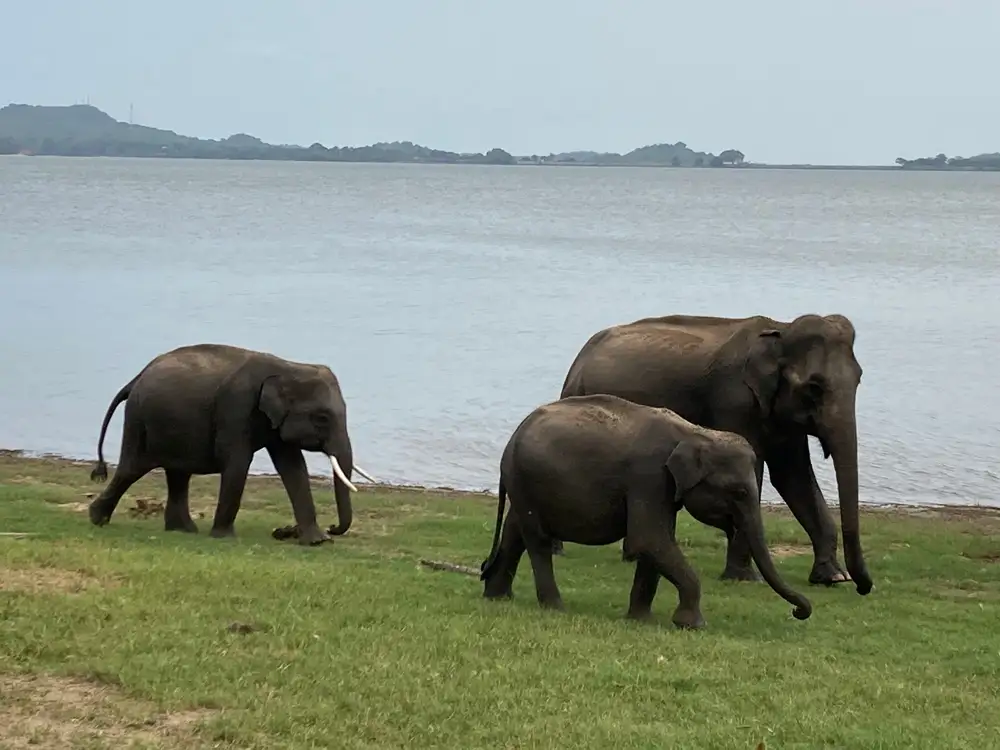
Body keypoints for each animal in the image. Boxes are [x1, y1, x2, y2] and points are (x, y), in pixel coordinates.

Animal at [86, 343, 377, 545]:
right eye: (322, 418)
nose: (332, 528)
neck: (287, 366)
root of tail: (135, 379)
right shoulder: (236, 408)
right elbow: (238, 464)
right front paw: (224, 538)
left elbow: (293, 467)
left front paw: (317, 542)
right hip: (139, 420)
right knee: (133, 468)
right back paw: (96, 519)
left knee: (178, 474)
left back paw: (184, 530)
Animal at [479, 394, 813, 629]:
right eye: (740, 493)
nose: (798, 611)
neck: (695, 432)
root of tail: (512, 439)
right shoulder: (649, 476)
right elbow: (650, 539)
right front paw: (692, 625)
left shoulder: (663, 487)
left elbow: (657, 542)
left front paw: (641, 620)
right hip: (526, 479)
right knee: (537, 539)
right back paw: (555, 607)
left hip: (525, 483)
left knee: (515, 530)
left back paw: (497, 597)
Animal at [557, 313, 871, 596]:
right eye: (814, 387)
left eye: (859, 380)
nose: (863, 588)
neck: (780, 329)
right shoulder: (734, 401)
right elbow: (757, 471)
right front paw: (744, 578)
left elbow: (793, 477)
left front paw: (832, 577)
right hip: (576, 395)